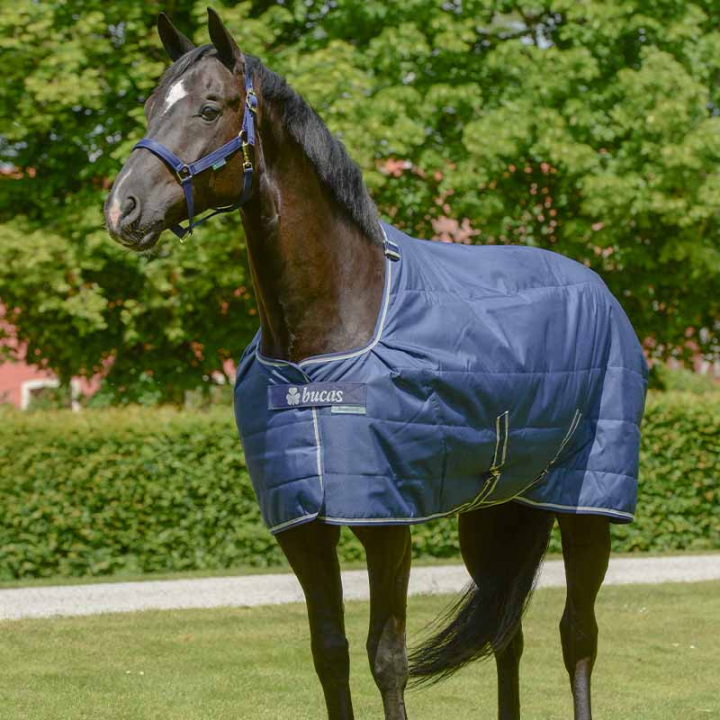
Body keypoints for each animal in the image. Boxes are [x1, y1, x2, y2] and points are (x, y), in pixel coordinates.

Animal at [104, 10, 648, 720]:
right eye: (149, 106)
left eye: (210, 107)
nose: (123, 208)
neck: (320, 349)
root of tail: (597, 285)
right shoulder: (303, 527)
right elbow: (329, 654)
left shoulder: (386, 522)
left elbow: (386, 659)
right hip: (495, 511)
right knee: (507, 633)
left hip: (589, 505)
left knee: (577, 635)